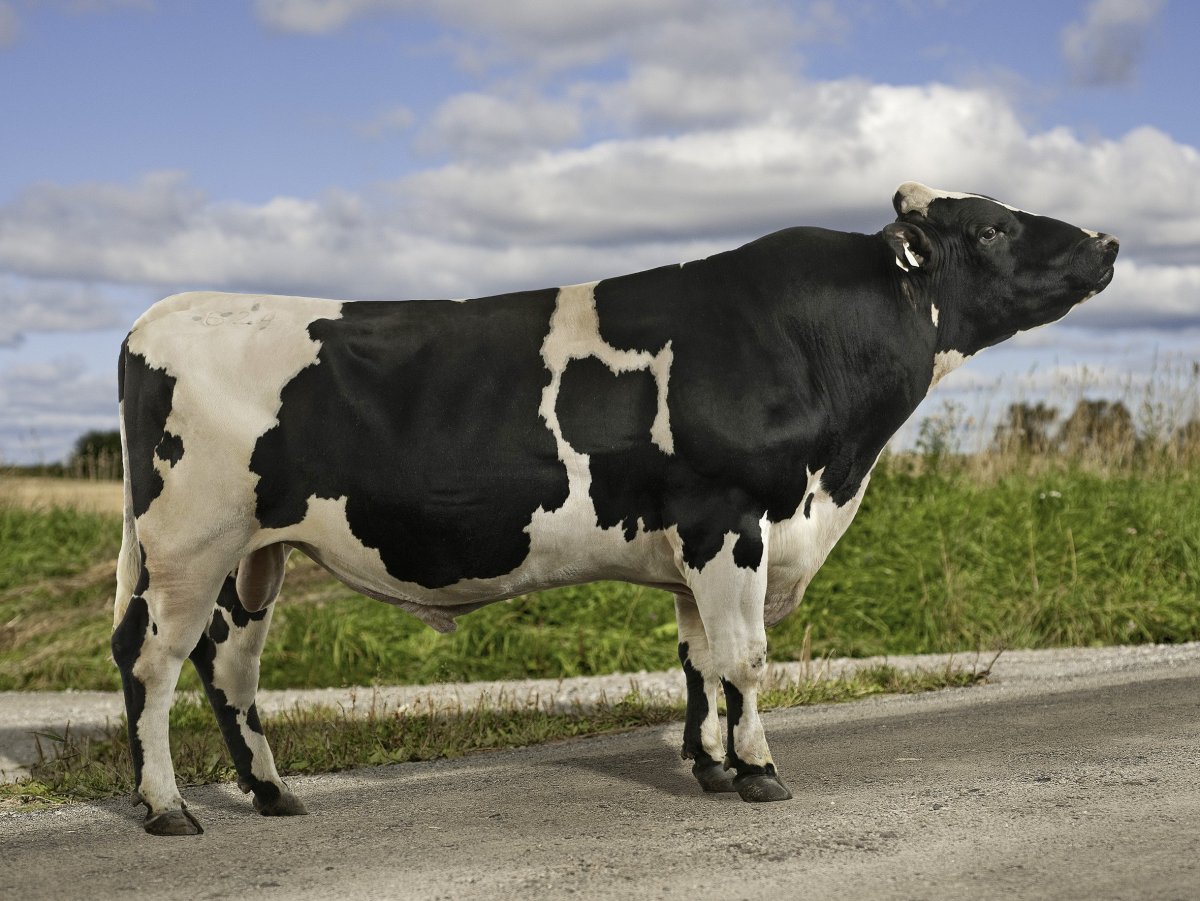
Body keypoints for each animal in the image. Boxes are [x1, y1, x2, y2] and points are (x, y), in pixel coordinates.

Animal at [113, 182, 1118, 835]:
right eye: (990, 227)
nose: (1107, 242)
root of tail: (154, 318)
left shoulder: (699, 544)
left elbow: (700, 661)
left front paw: (711, 766)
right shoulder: (727, 518)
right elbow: (745, 656)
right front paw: (759, 772)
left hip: (255, 554)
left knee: (230, 666)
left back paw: (272, 793)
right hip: (187, 544)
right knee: (152, 659)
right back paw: (167, 807)